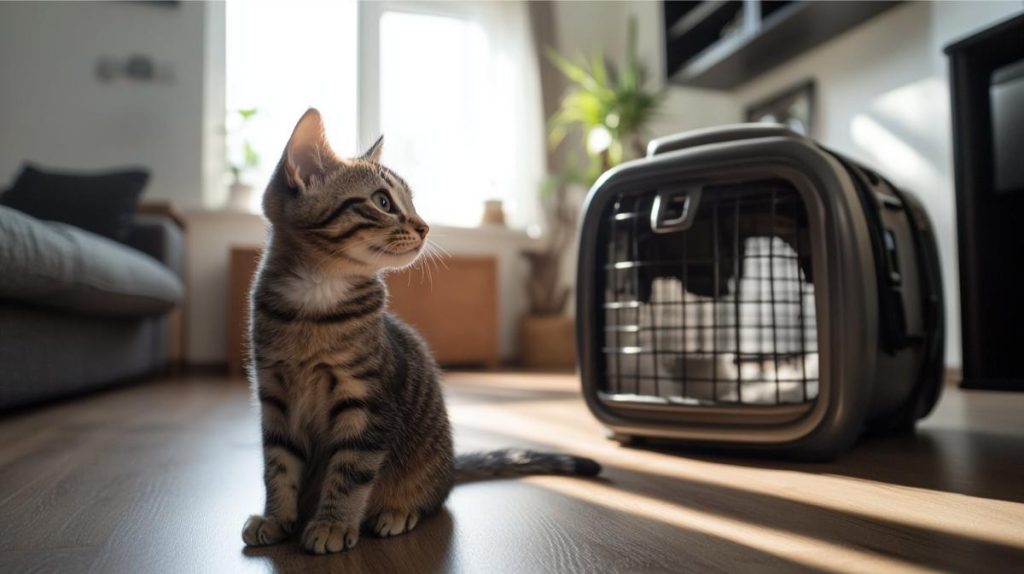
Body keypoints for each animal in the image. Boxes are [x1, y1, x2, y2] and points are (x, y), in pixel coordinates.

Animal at [241, 108, 598, 556]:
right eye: (382, 202)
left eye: (412, 202)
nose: (426, 226)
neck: (314, 302)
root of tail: (450, 468)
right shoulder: (274, 396)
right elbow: (278, 465)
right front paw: (275, 517)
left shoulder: (367, 404)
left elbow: (350, 472)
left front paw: (333, 523)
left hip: (427, 469)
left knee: (432, 499)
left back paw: (398, 511)